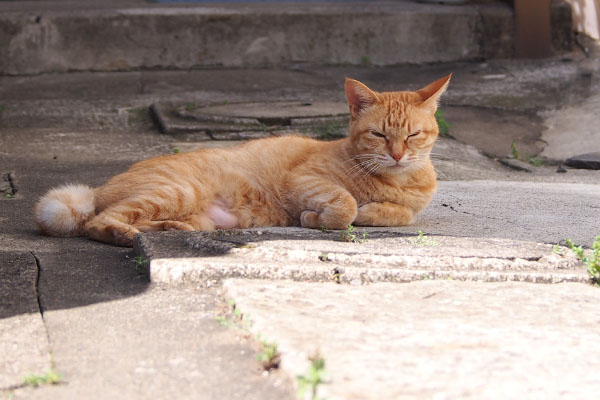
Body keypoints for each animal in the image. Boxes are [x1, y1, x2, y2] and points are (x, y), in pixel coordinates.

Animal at [34, 73, 450, 245]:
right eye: (379, 135)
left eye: (412, 135)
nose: (397, 154)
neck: (393, 180)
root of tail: (97, 188)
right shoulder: (303, 180)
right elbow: (344, 206)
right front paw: (316, 218)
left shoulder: (411, 207)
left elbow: (398, 213)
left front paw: (374, 210)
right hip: (176, 191)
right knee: (98, 222)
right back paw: (123, 235)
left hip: (196, 214)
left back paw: (170, 229)